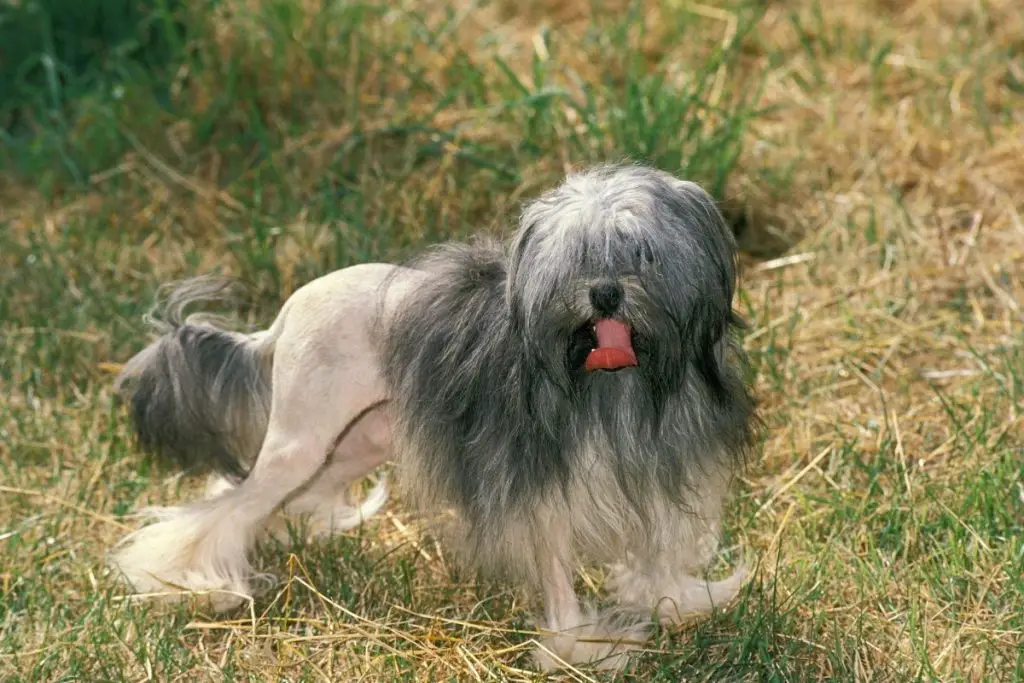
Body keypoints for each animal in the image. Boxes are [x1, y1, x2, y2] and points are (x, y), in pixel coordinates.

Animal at [112, 162, 757, 671]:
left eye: (641, 253)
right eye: (573, 260)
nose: (604, 294)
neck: (616, 383)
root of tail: (282, 316)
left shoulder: (661, 471)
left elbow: (659, 549)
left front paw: (676, 600)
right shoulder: (538, 492)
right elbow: (557, 576)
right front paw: (581, 647)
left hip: (358, 442)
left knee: (274, 499)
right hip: (302, 439)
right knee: (228, 504)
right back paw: (187, 579)